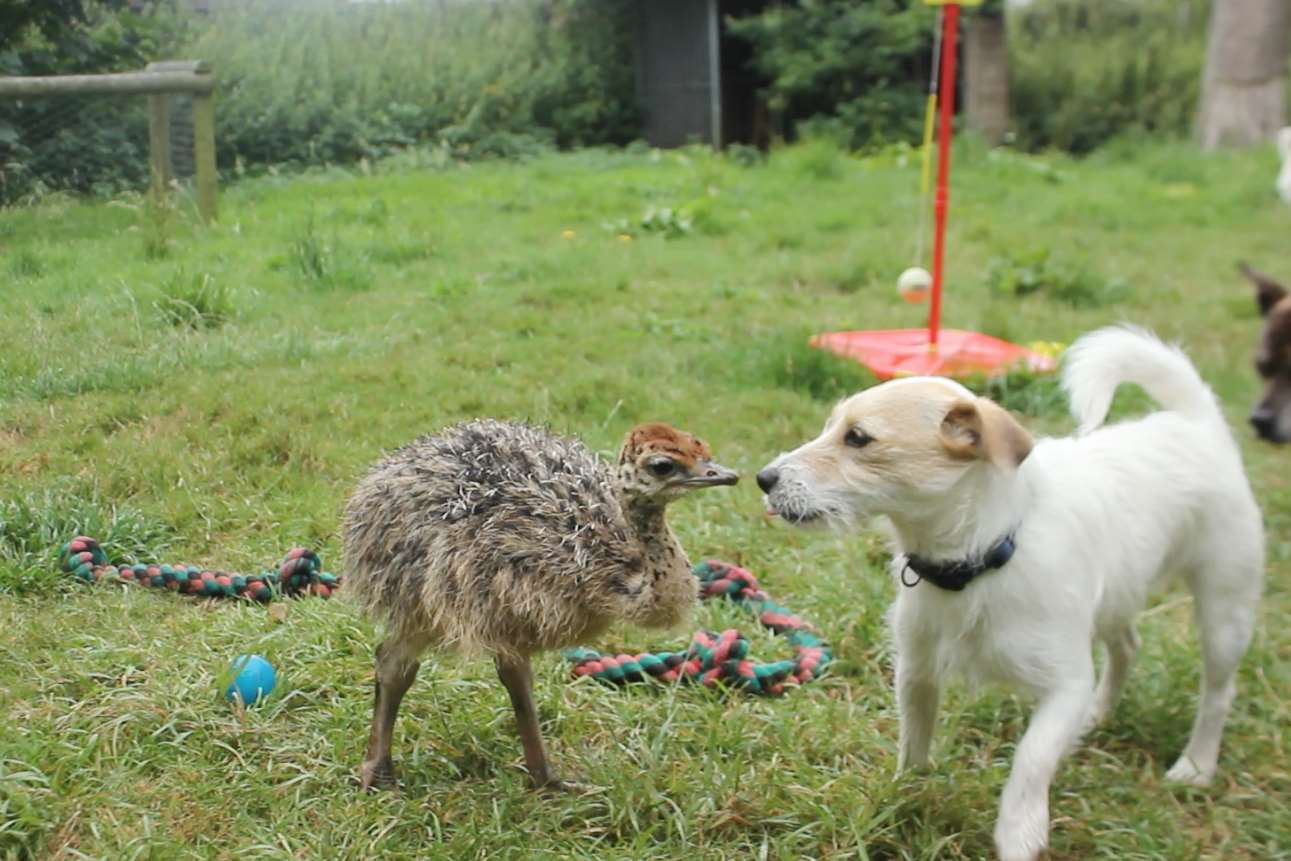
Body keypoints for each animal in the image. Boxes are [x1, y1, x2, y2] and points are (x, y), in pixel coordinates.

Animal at [753, 327, 1260, 861]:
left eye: (858, 437)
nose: (764, 478)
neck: (979, 558)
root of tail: (1196, 422)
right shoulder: (917, 670)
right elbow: (914, 739)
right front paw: (906, 794)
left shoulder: (1065, 686)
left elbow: (1032, 757)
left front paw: (1020, 829)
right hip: (1116, 595)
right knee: (1126, 647)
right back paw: (1098, 715)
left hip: (1225, 610)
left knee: (1218, 693)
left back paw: (1197, 764)